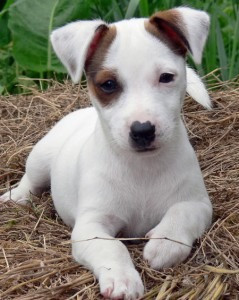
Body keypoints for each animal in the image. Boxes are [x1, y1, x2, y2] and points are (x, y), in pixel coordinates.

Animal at [0, 7, 212, 300]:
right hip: (40, 158)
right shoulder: (90, 226)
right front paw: (122, 278)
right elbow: (112, 246)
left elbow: (181, 214)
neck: (142, 168)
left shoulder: (199, 204)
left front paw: (164, 244)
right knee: (30, 180)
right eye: (109, 84)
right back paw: (14, 197)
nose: (143, 130)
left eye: (166, 77)